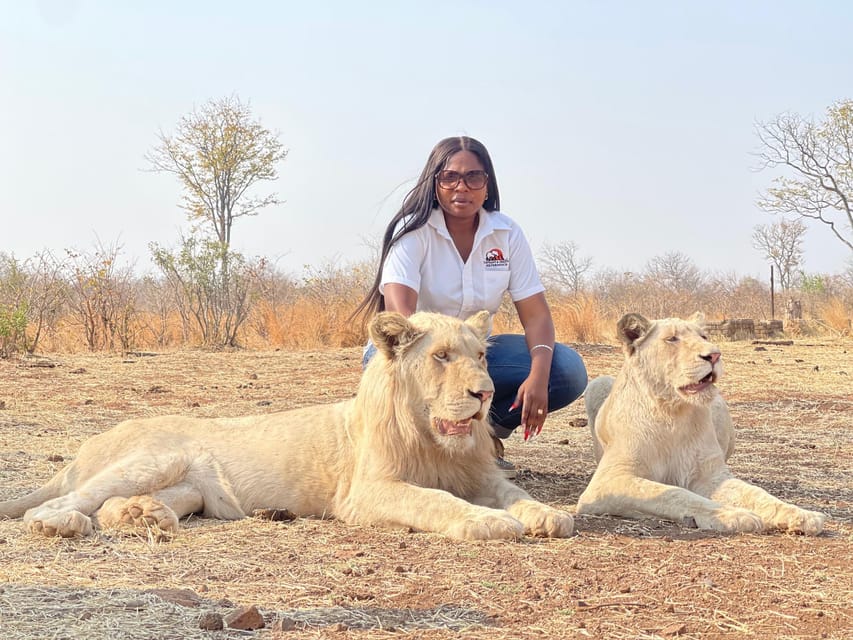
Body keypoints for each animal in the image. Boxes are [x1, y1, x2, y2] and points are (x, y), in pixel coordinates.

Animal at [0, 311, 573, 541]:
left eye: (481, 356)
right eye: (441, 357)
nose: (486, 393)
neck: (433, 441)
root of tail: (86, 445)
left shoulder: (481, 476)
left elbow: (518, 494)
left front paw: (550, 516)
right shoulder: (366, 493)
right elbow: (433, 500)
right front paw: (490, 523)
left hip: (190, 489)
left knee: (118, 504)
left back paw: (146, 517)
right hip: (156, 457)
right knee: (63, 502)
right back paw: (62, 524)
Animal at [576, 312, 825, 535]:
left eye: (704, 336)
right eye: (672, 339)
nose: (714, 355)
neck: (672, 413)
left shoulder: (711, 476)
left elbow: (755, 492)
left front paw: (801, 515)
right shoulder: (607, 482)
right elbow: (675, 494)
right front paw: (733, 515)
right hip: (597, 383)